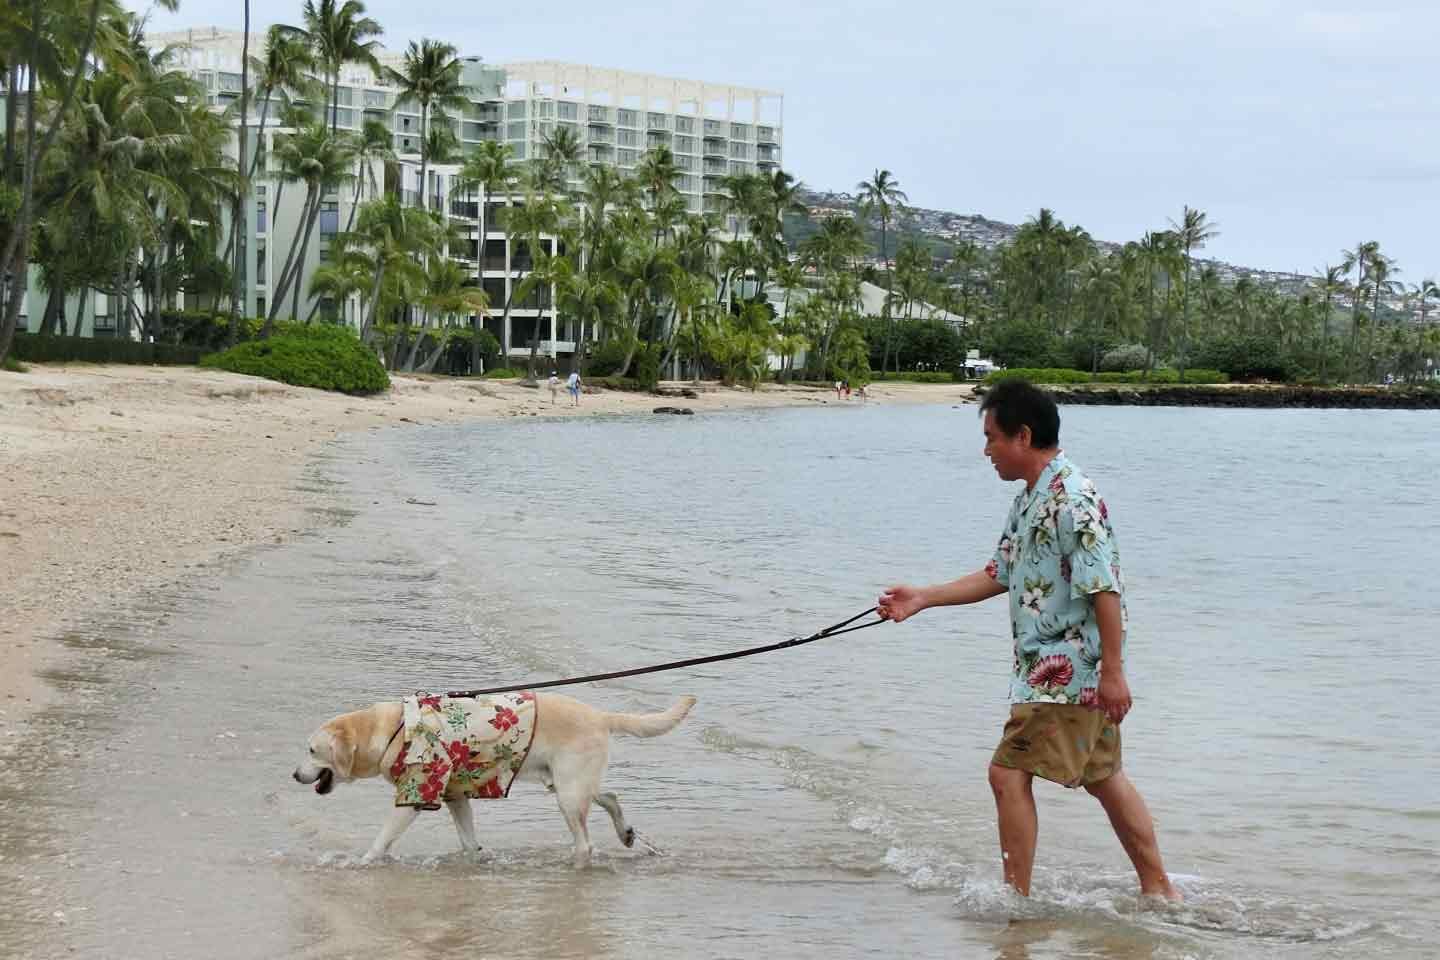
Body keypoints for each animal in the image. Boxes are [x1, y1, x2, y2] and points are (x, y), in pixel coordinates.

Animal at [289, 693, 694, 869]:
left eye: (311, 750)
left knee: (585, 843)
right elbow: (468, 840)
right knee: (609, 794)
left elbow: (382, 839)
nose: (294, 774)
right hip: (568, 785)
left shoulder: (417, 794)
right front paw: (477, 859)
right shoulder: (456, 797)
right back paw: (625, 833)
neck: (393, 730)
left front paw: (361, 862)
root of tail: (600, 715)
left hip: (568, 792)